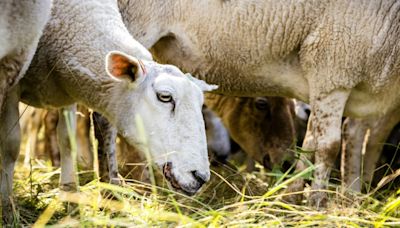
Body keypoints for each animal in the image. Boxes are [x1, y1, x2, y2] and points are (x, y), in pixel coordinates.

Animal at [0, 0, 219, 222]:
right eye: (165, 97)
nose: (200, 177)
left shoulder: (67, 90)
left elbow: (67, 142)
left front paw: (71, 202)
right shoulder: (13, 79)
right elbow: (10, 145)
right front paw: (8, 207)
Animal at [118, 0, 400, 207]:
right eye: (262, 104)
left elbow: (335, 141)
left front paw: (299, 199)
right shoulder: (333, 67)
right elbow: (327, 146)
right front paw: (314, 204)